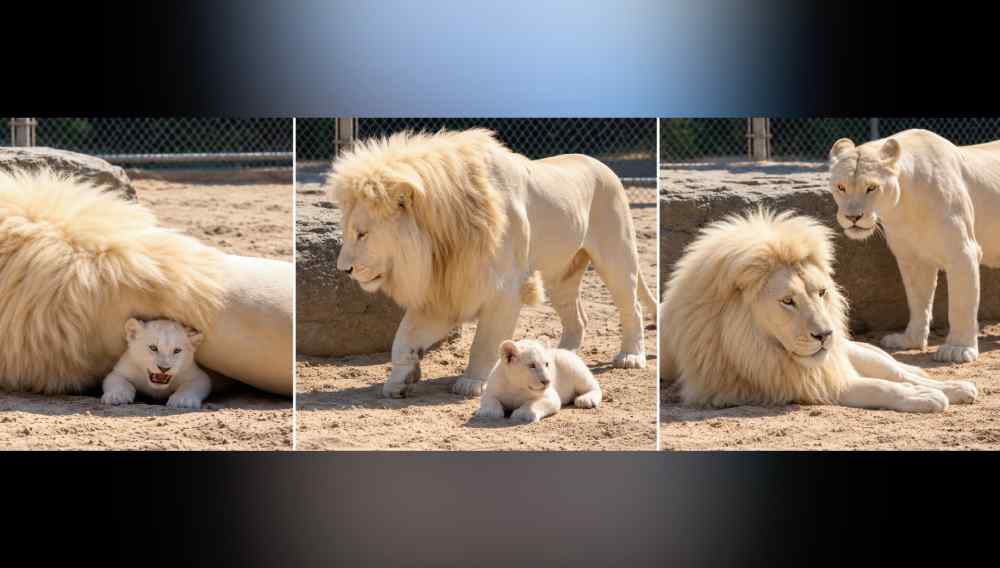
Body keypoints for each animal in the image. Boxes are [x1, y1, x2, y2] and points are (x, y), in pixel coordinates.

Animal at [330, 129, 656, 398]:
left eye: (362, 233)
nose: (343, 270)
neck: (442, 243)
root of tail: (602, 164)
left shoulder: (504, 288)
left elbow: (485, 341)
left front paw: (471, 383)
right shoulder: (446, 291)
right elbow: (404, 338)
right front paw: (398, 381)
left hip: (617, 255)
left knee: (632, 308)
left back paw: (631, 357)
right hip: (561, 275)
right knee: (578, 318)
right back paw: (563, 358)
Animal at [659, 208, 977, 412]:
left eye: (822, 293)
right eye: (788, 301)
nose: (825, 335)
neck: (755, 345)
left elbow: (886, 382)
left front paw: (933, 393)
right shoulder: (783, 383)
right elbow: (876, 387)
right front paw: (925, 398)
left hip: (854, 353)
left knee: (902, 372)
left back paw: (957, 387)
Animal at [829, 129, 1000, 363]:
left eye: (871, 188)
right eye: (841, 187)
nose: (852, 217)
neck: (903, 208)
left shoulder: (963, 252)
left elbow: (961, 304)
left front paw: (958, 349)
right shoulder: (912, 258)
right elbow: (918, 301)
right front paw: (910, 340)